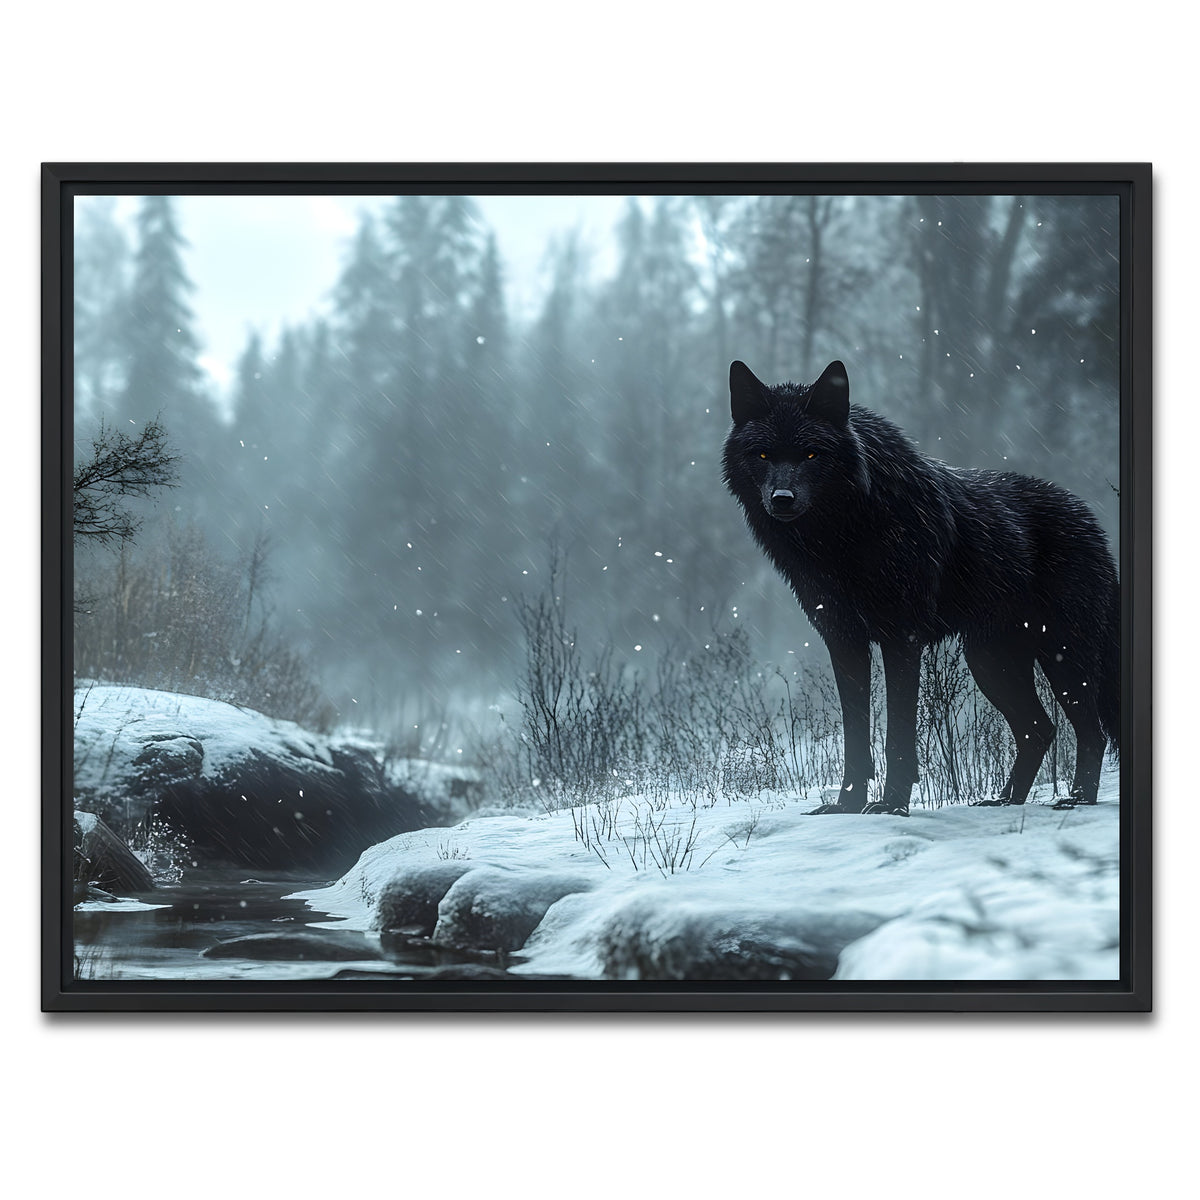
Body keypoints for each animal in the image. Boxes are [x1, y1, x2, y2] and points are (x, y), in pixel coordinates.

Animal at [722, 359, 1120, 815]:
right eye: (763, 454)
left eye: (810, 454)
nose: (782, 498)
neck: (842, 538)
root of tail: (1092, 521)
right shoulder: (844, 640)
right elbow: (856, 737)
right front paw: (846, 806)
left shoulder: (902, 638)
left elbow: (897, 734)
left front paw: (891, 805)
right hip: (990, 661)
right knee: (1040, 729)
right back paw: (1004, 801)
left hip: (1061, 656)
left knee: (1091, 732)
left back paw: (1077, 799)